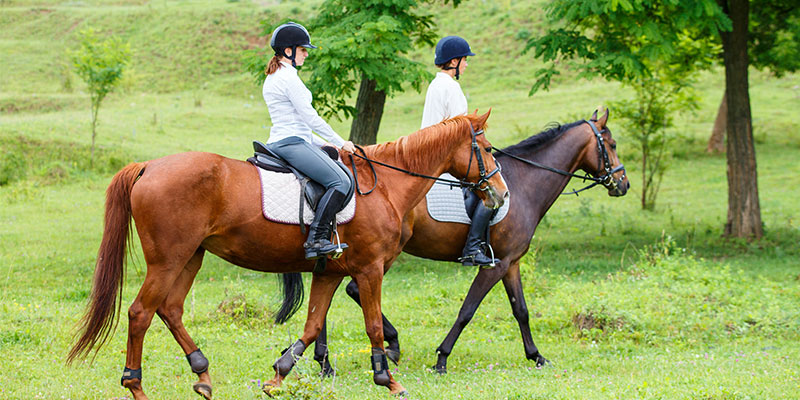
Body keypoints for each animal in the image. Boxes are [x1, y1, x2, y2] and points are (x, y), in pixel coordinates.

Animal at [67, 112, 506, 400]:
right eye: (485, 148)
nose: (500, 194)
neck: (383, 187)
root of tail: (148, 166)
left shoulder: (331, 272)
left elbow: (312, 326)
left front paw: (277, 376)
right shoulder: (370, 269)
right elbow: (373, 326)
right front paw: (388, 379)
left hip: (191, 257)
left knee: (170, 309)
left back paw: (203, 373)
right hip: (169, 259)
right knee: (141, 313)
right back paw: (136, 384)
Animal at [312, 107, 632, 376]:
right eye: (613, 144)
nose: (623, 183)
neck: (524, 184)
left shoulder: (511, 263)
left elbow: (521, 310)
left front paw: (536, 356)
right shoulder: (495, 265)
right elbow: (467, 309)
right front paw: (442, 358)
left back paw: (325, 360)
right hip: (379, 254)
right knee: (350, 291)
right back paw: (368, 351)